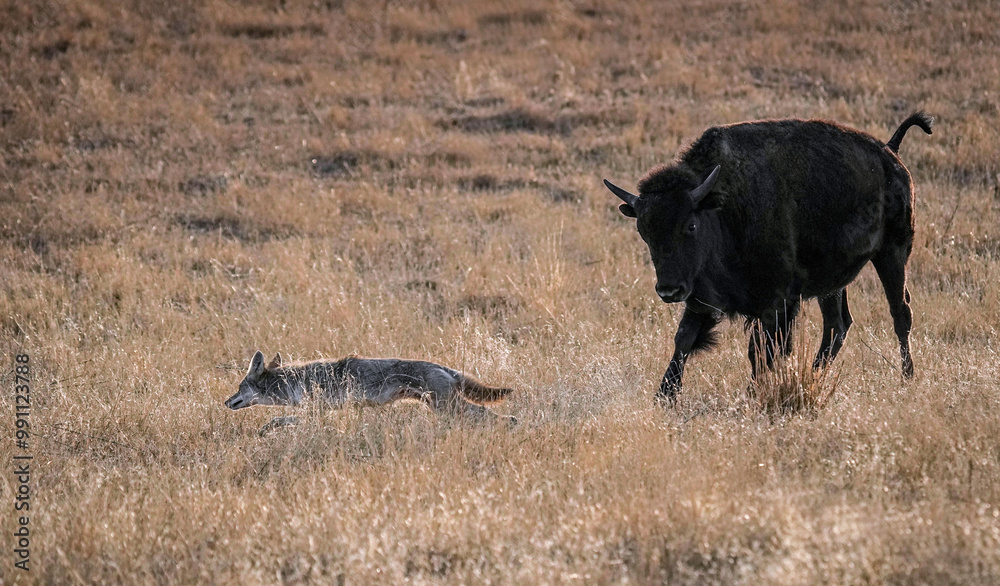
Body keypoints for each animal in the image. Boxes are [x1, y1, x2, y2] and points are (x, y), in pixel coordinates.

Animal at [604, 112, 933, 402]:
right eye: (644, 231)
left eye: (691, 225)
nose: (669, 290)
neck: (721, 209)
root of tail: (890, 153)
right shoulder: (701, 299)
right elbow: (684, 339)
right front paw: (664, 396)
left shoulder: (776, 303)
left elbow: (760, 352)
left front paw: (751, 394)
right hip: (833, 283)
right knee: (837, 325)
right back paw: (815, 377)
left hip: (892, 253)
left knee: (900, 313)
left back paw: (907, 377)